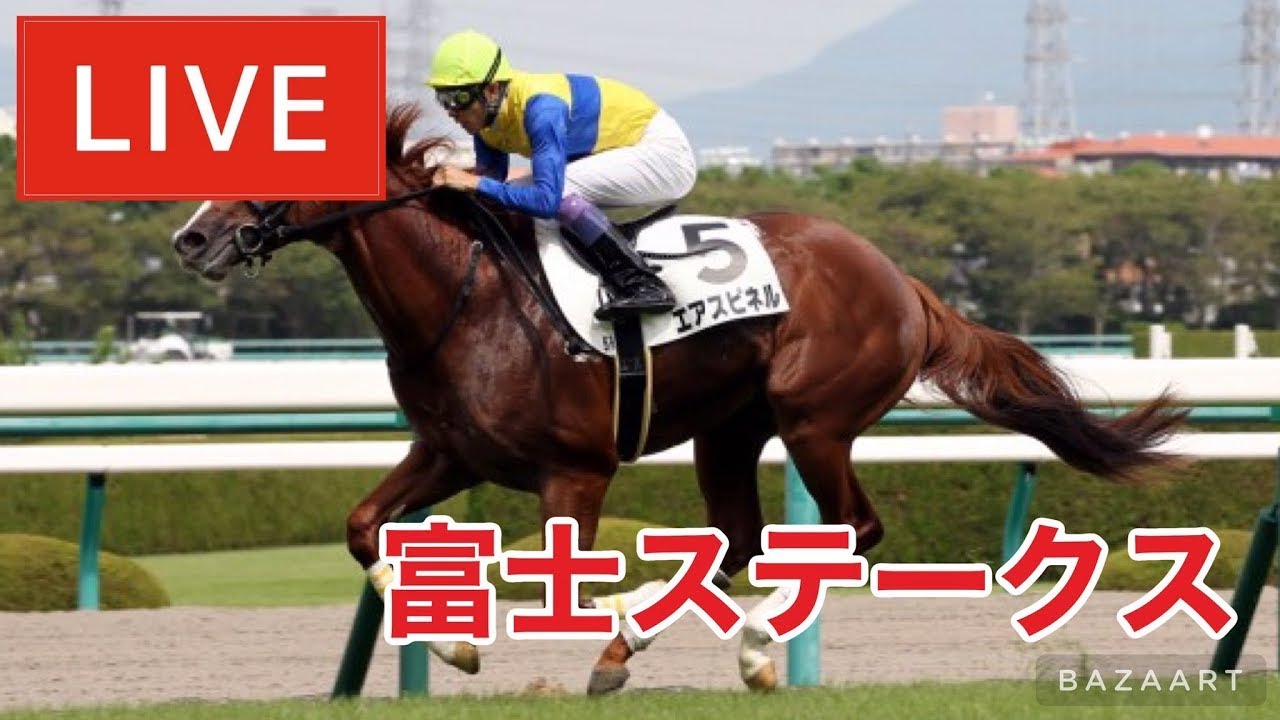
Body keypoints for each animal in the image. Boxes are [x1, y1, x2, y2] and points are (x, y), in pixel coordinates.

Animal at [170, 102, 1188, 694]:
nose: (191, 238)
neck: (468, 298)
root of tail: (899, 276)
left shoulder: (575, 471)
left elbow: (554, 574)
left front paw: (521, 639)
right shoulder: (449, 451)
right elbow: (360, 526)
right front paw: (457, 647)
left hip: (816, 420)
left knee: (848, 532)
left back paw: (732, 648)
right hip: (729, 432)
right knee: (740, 537)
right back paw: (697, 650)